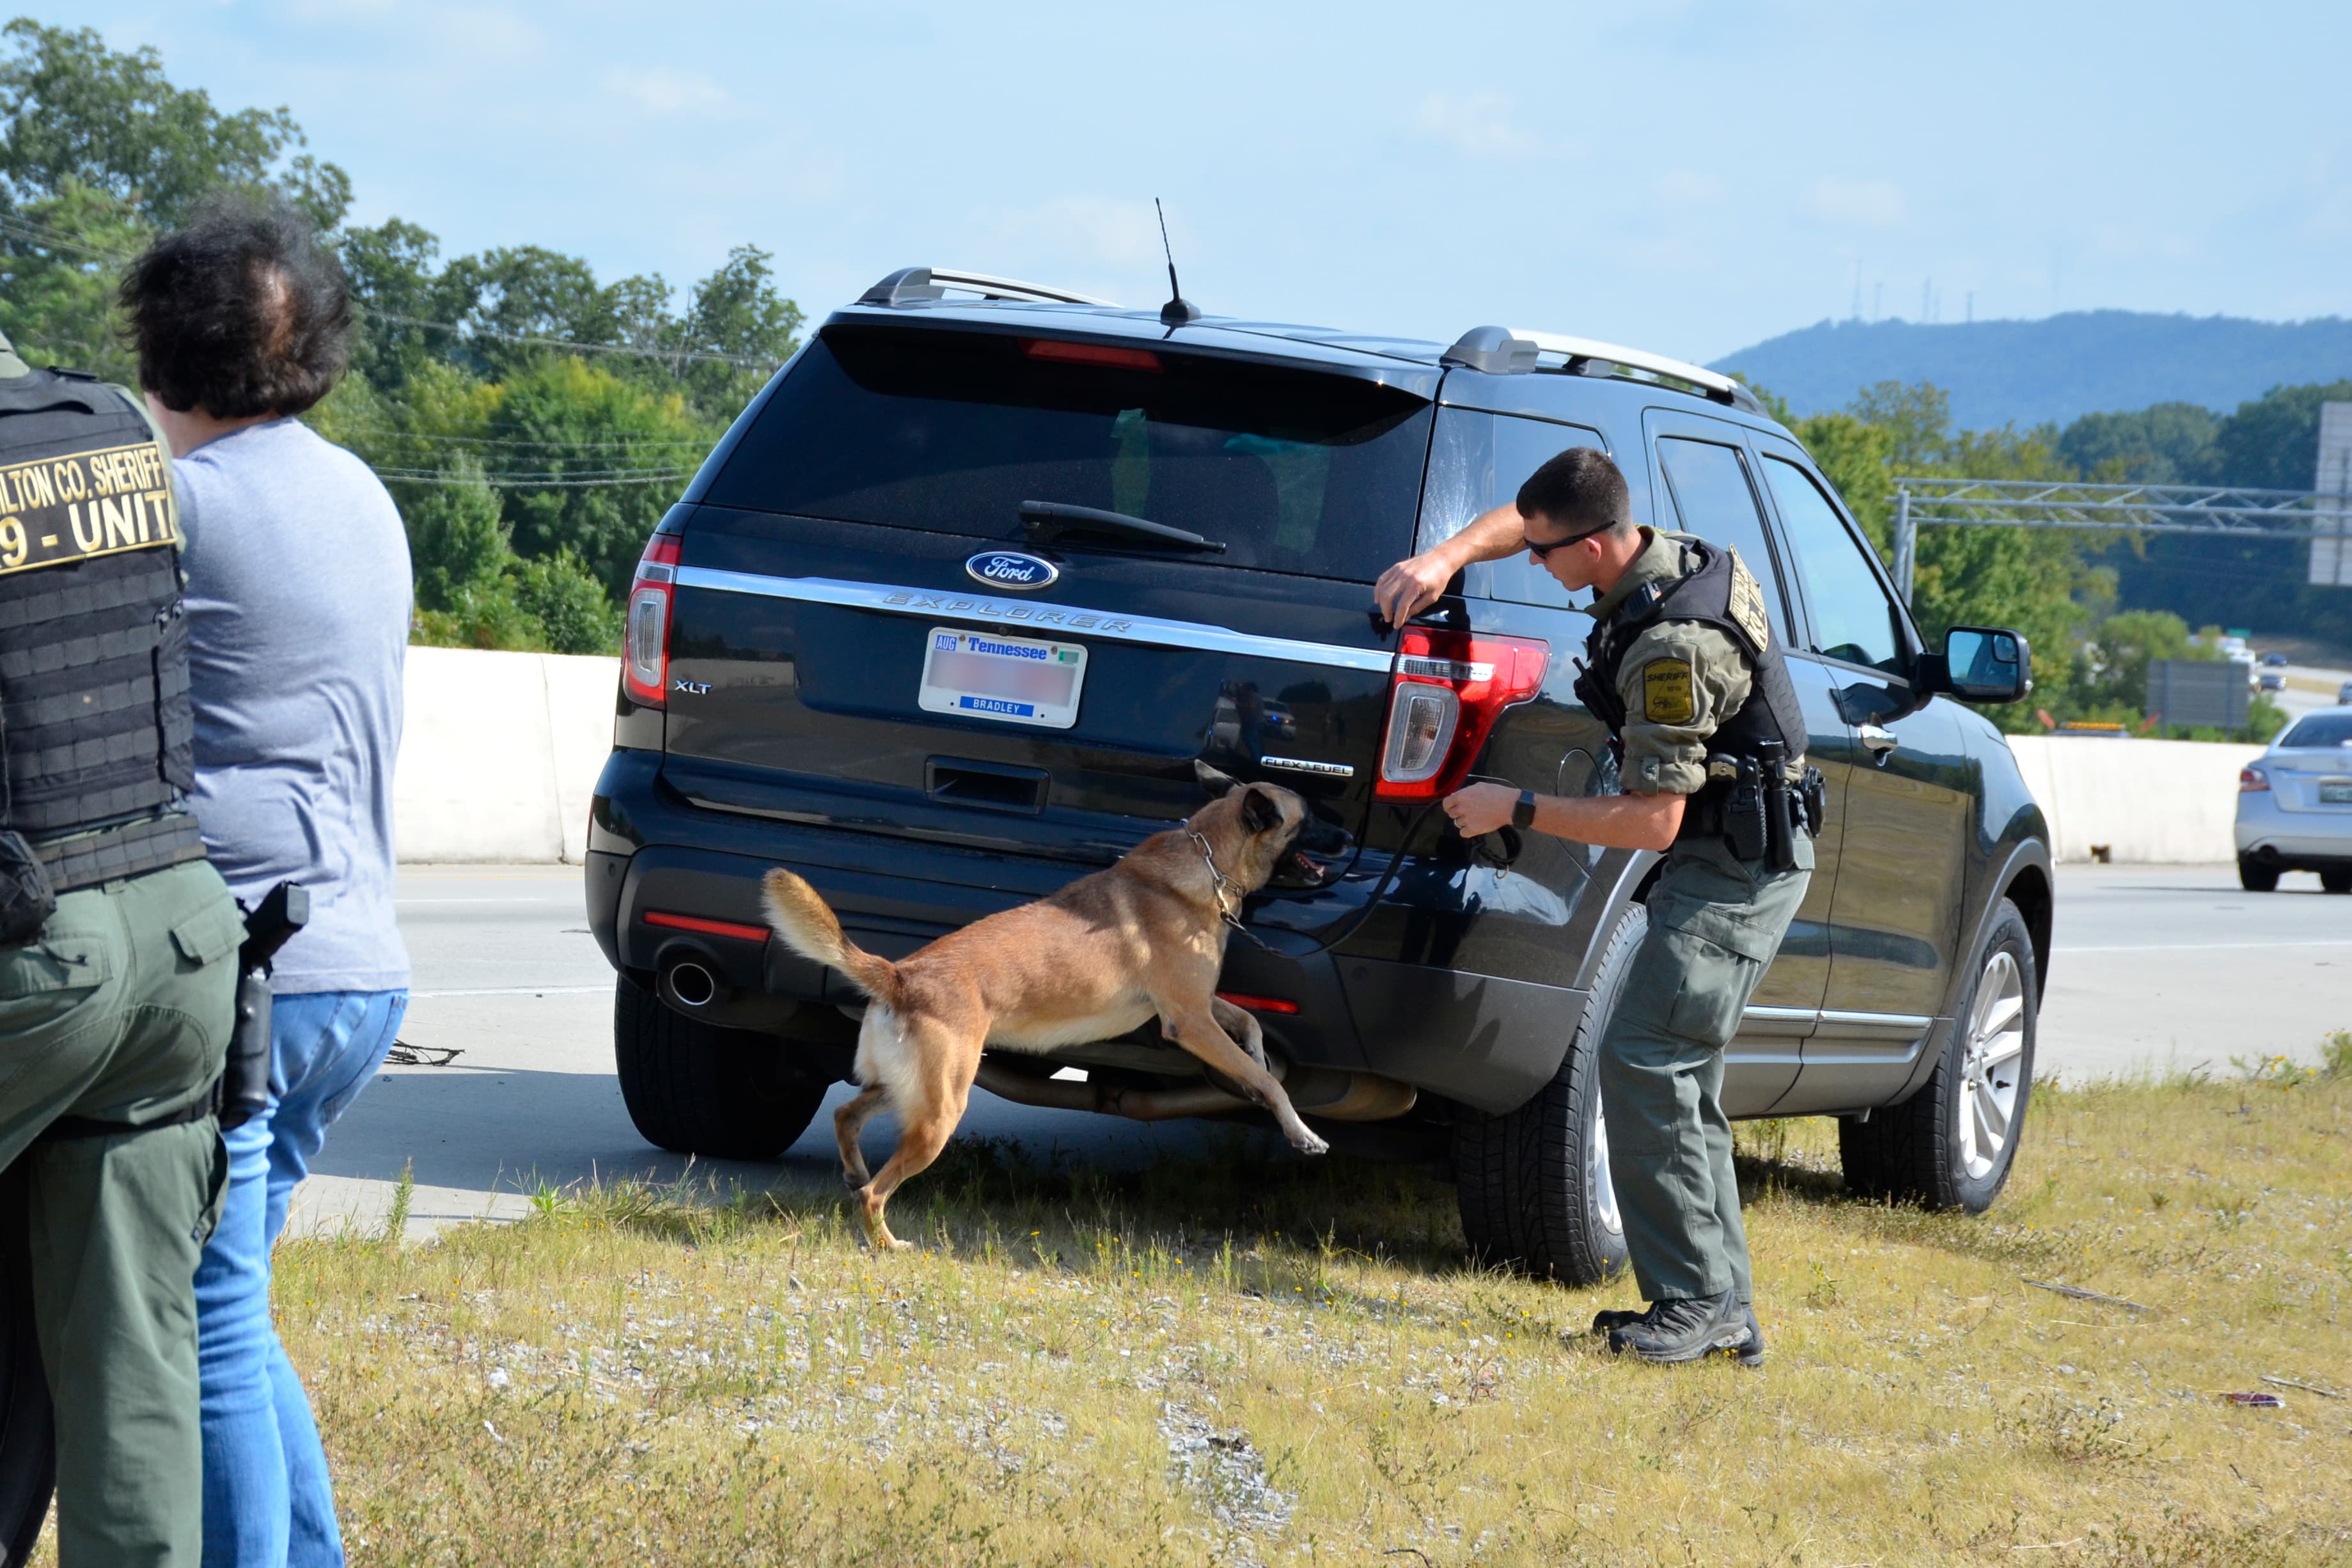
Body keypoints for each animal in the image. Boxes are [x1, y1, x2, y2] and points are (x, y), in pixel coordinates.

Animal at [767, 762, 1345, 1250]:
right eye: (1312, 816)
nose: (1348, 838)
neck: (1207, 862)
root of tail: (900, 976)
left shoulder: (1197, 1006)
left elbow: (1250, 1025)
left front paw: (1258, 1054)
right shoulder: (1190, 1020)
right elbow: (1270, 1082)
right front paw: (1303, 1133)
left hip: (908, 1089)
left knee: (845, 1114)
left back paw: (854, 1173)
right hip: (941, 1111)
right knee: (875, 1192)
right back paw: (889, 1243)